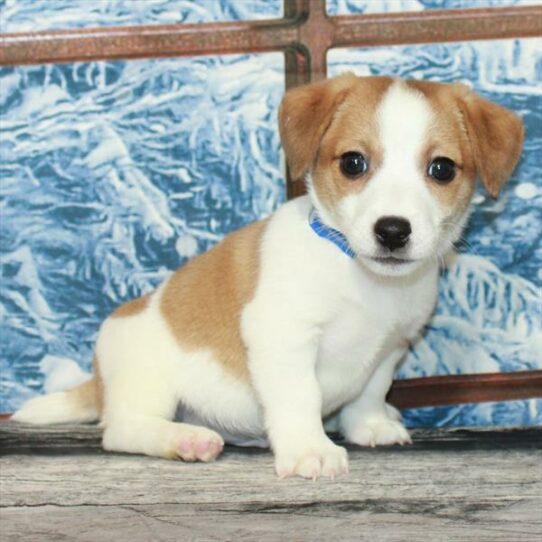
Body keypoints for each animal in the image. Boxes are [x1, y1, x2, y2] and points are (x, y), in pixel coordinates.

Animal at [12, 75, 524, 480]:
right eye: (353, 163)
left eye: (441, 168)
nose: (393, 231)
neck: (360, 276)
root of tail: (99, 380)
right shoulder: (285, 338)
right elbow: (300, 397)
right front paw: (310, 449)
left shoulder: (392, 347)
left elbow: (370, 391)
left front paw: (368, 425)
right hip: (148, 381)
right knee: (121, 430)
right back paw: (184, 440)